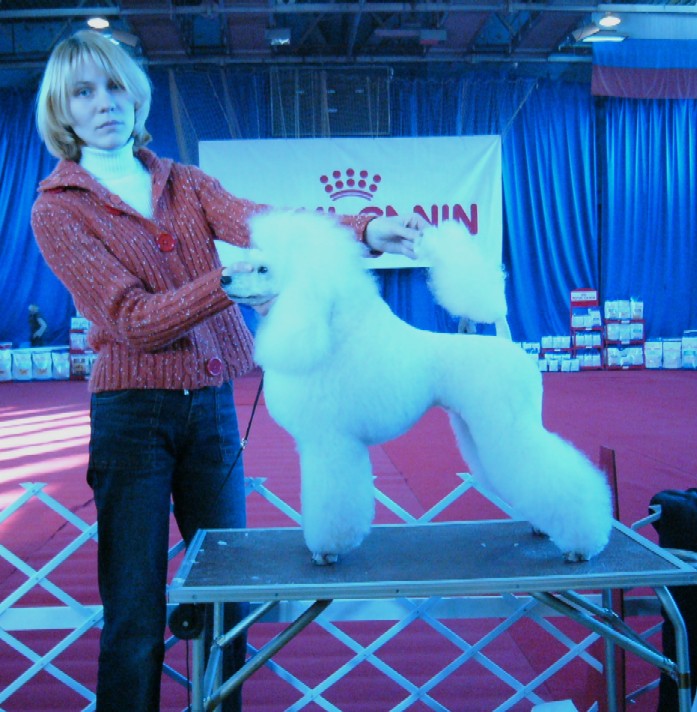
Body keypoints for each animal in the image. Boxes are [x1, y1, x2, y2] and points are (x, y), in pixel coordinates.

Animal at [217, 211, 613, 565]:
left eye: (263, 269)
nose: (223, 279)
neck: (327, 332)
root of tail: (508, 344)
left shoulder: (330, 442)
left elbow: (332, 501)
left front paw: (328, 550)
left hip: (509, 424)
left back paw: (582, 543)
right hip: (477, 428)